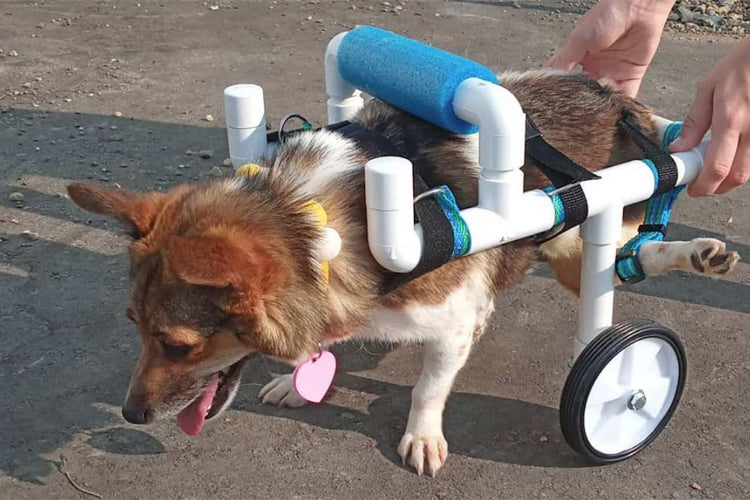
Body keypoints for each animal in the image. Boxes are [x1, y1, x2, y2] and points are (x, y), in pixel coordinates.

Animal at [69, 70, 740, 476]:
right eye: (133, 326)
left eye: (180, 346)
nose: (130, 415)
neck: (309, 219)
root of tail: (615, 96)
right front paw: (296, 382)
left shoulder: (450, 325)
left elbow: (427, 388)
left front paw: (422, 437)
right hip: (566, 242)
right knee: (632, 256)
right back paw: (704, 255)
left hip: (586, 226)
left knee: (626, 263)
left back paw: (692, 263)